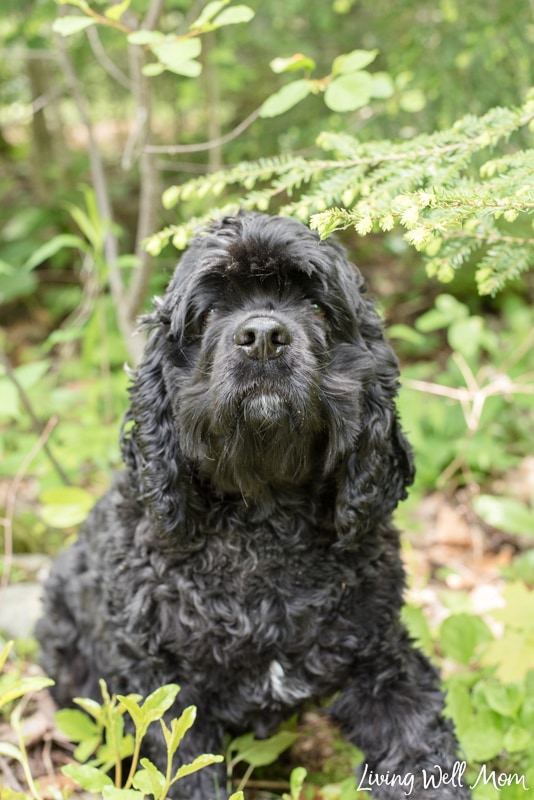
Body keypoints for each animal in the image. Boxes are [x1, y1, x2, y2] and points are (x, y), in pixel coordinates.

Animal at [37, 214, 472, 800]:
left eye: (318, 308)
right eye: (209, 313)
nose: (263, 336)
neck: (265, 528)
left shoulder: (383, 661)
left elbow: (420, 751)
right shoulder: (166, 695)